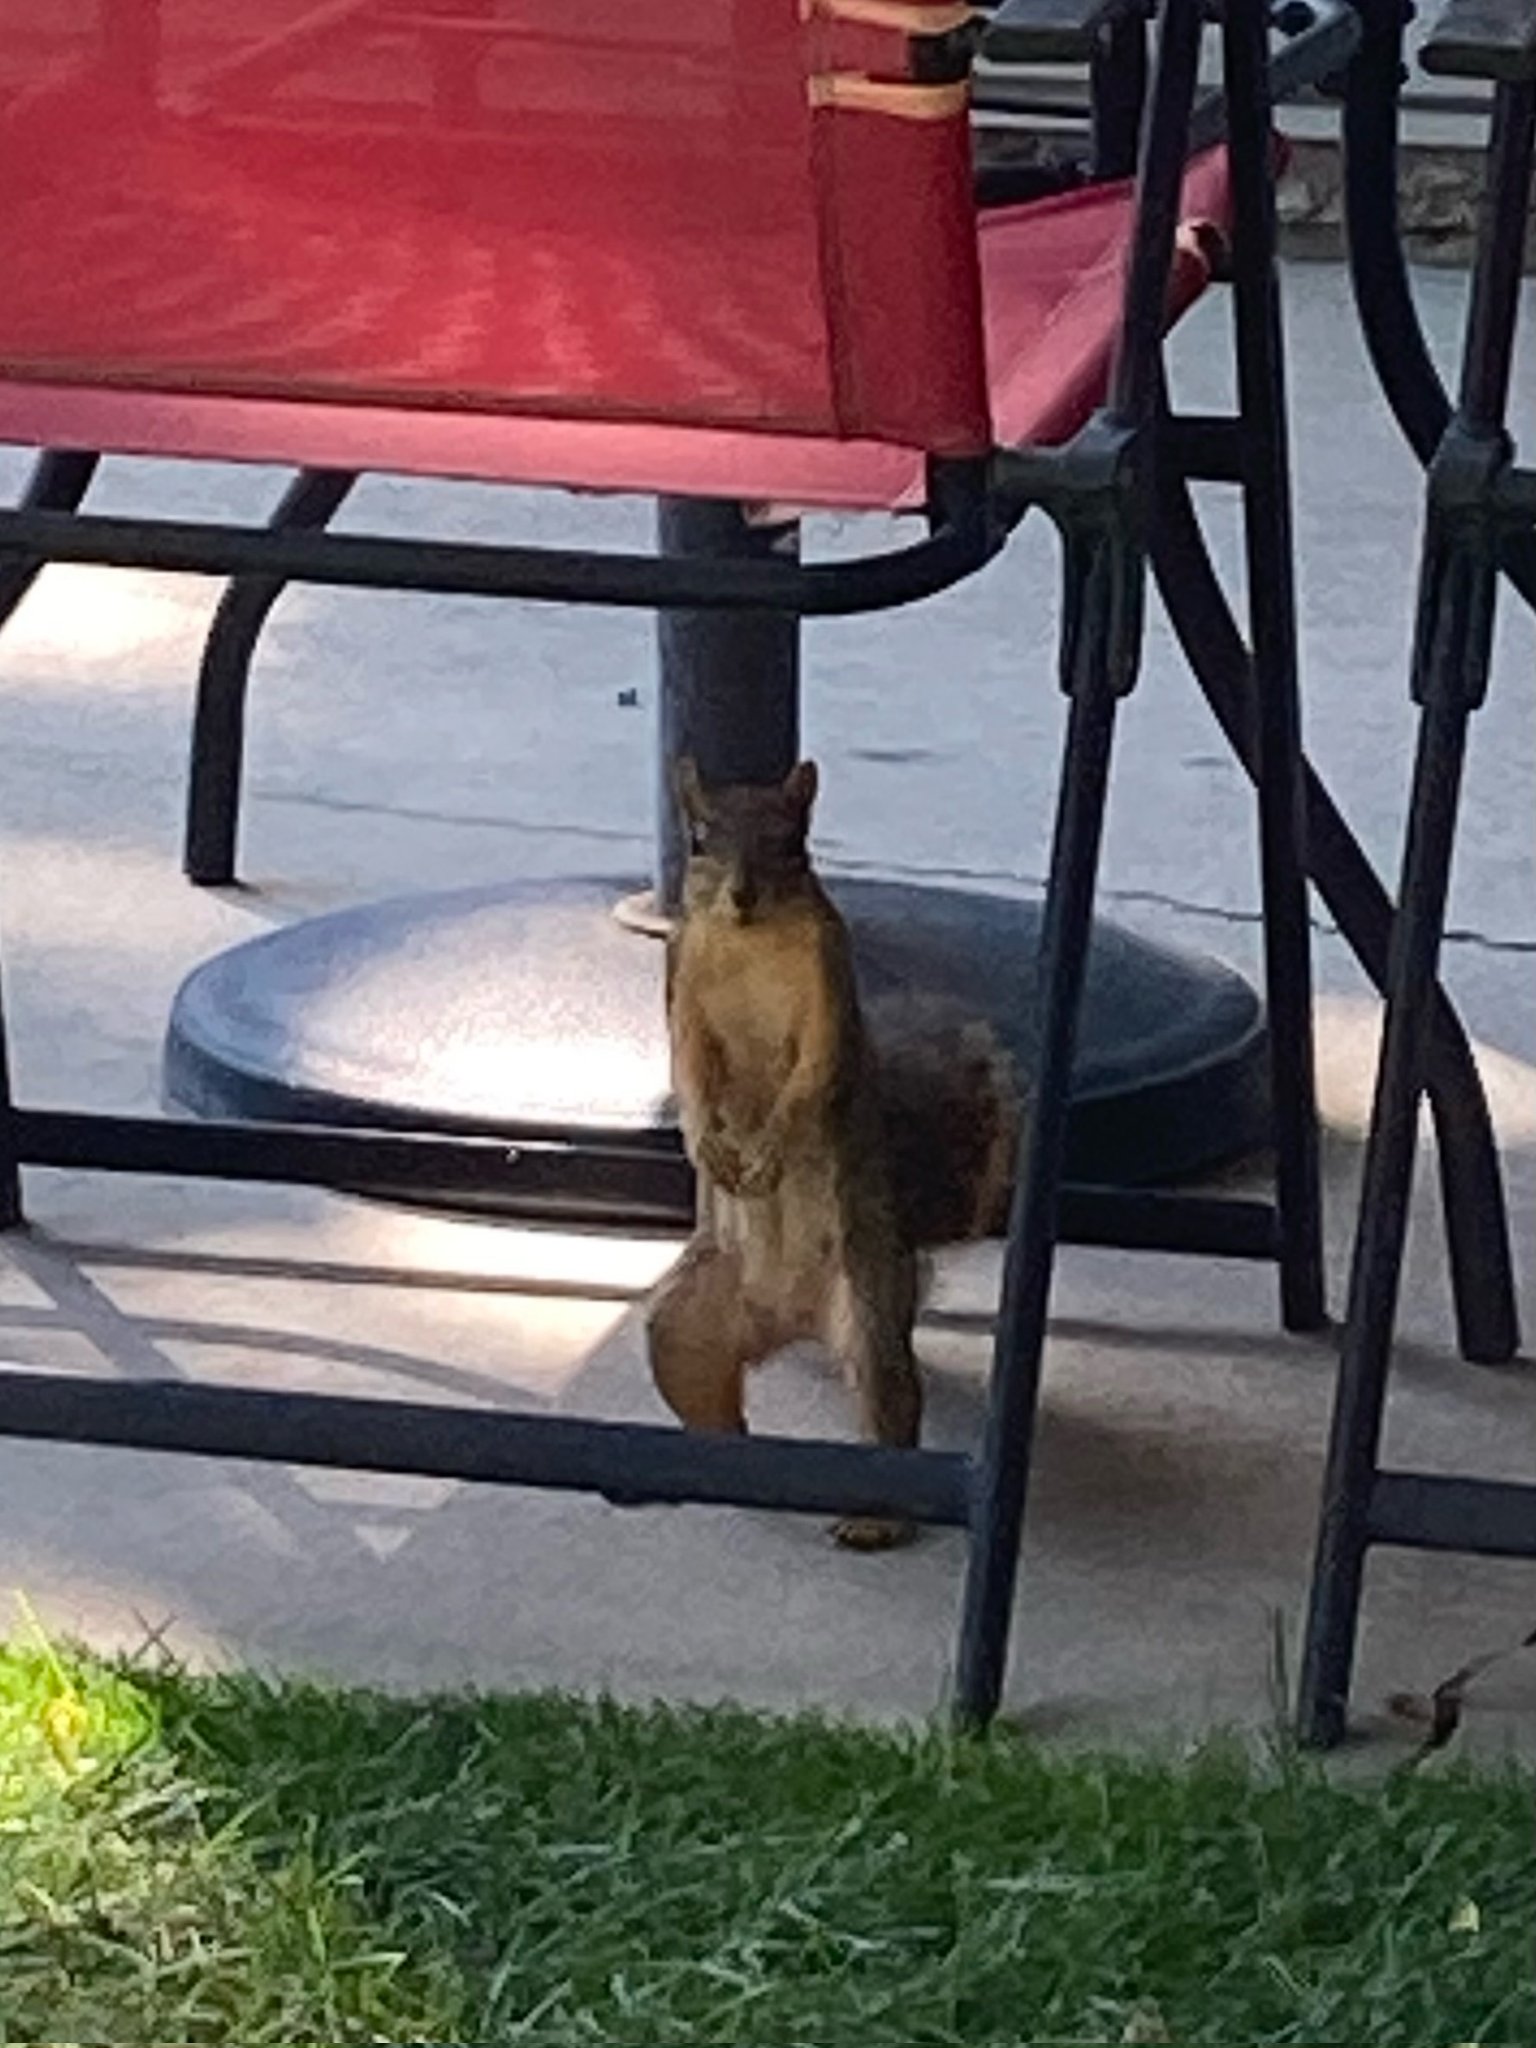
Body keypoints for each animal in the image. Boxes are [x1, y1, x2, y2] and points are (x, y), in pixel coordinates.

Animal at [645, 757, 1021, 1549]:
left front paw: (765, 1156)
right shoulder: (683, 985)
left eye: (792, 842)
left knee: (891, 1406)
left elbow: (808, 1083)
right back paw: (716, 1468)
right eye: (698, 840)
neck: (749, 942)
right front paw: (709, 1147)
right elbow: (690, 1073)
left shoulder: (828, 996)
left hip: (870, 1310)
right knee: (708, 1396)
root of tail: (791, 1320)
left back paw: (874, 1521)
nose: (743, 895)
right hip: (684, 1327)